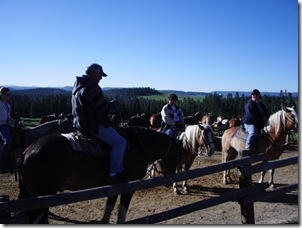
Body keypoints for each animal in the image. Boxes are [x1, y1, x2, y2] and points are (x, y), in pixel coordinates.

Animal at [17, 127, 182, 224]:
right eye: (176, 155)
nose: (169, 180)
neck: (138, 145)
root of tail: (26, 152)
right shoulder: (128, 187)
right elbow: (122, 211)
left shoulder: (114, 187)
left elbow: (109, 207)